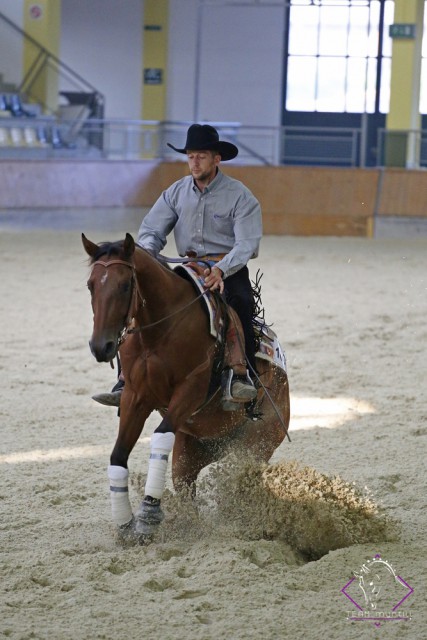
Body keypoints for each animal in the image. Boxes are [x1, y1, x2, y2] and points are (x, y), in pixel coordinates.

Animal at [82, 232, 290, 544]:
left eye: (125, 284)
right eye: (90, 284)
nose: (100, 346)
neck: (160, 331)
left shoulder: (191, 390)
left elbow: (160, 436)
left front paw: (148, 515)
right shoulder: (135, 397)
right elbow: (118, 454)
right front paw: (125, 523)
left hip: (254, 448)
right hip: (189, 455)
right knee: (186, 488)